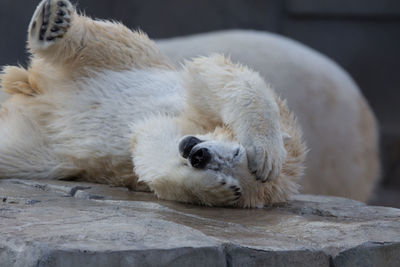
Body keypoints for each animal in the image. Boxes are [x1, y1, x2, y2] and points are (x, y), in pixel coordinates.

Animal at [0, 0, 304, 209]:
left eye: (229, 169)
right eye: (238, 152)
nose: (198, 155)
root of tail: (35, 91)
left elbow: (149, 143)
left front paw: (216, 188)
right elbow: (214, 76)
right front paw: (267, 155)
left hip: (38, 144)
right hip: (129, 62)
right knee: (108, 42)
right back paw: (51, 23)